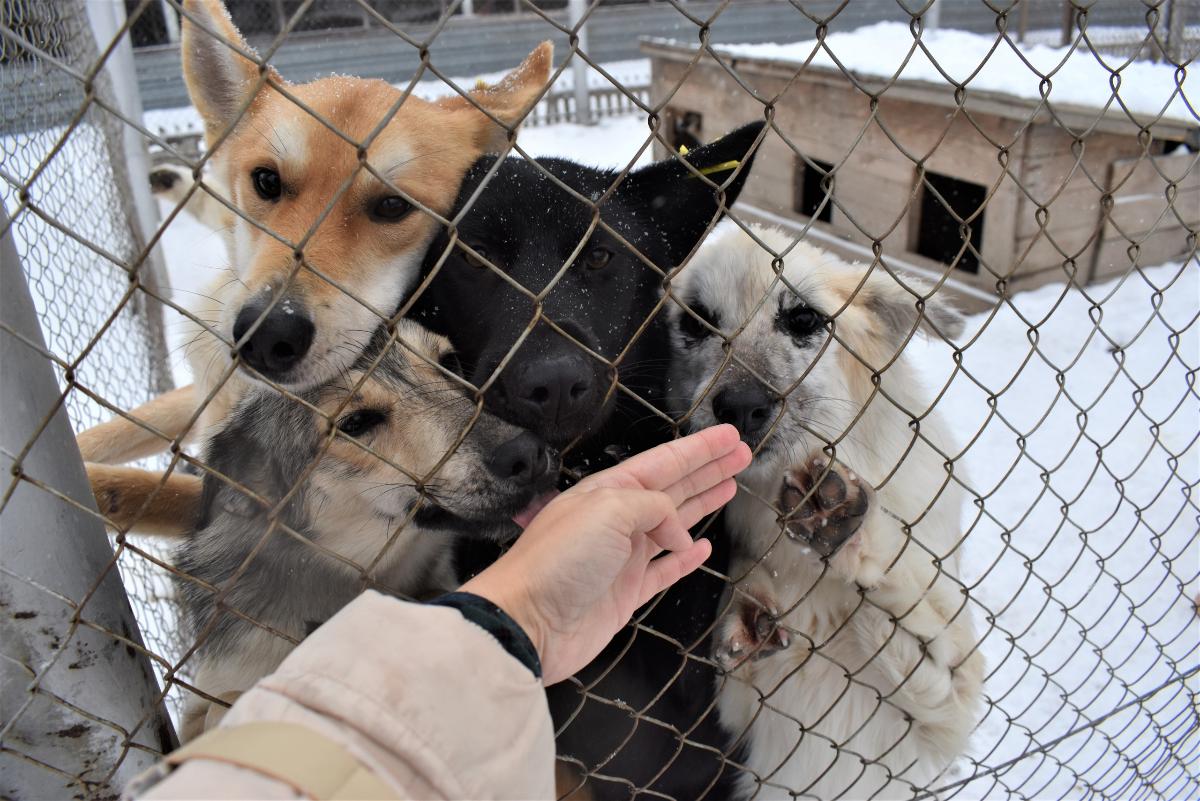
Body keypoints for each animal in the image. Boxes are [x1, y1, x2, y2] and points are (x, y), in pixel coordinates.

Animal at [667, 221, 984, 796]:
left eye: (803, 318)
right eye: (696, 321)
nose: (742, 407)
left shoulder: (949, 703)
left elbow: (902, 608)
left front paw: (841, 526)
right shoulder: (743, 707)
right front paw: (747, 608)